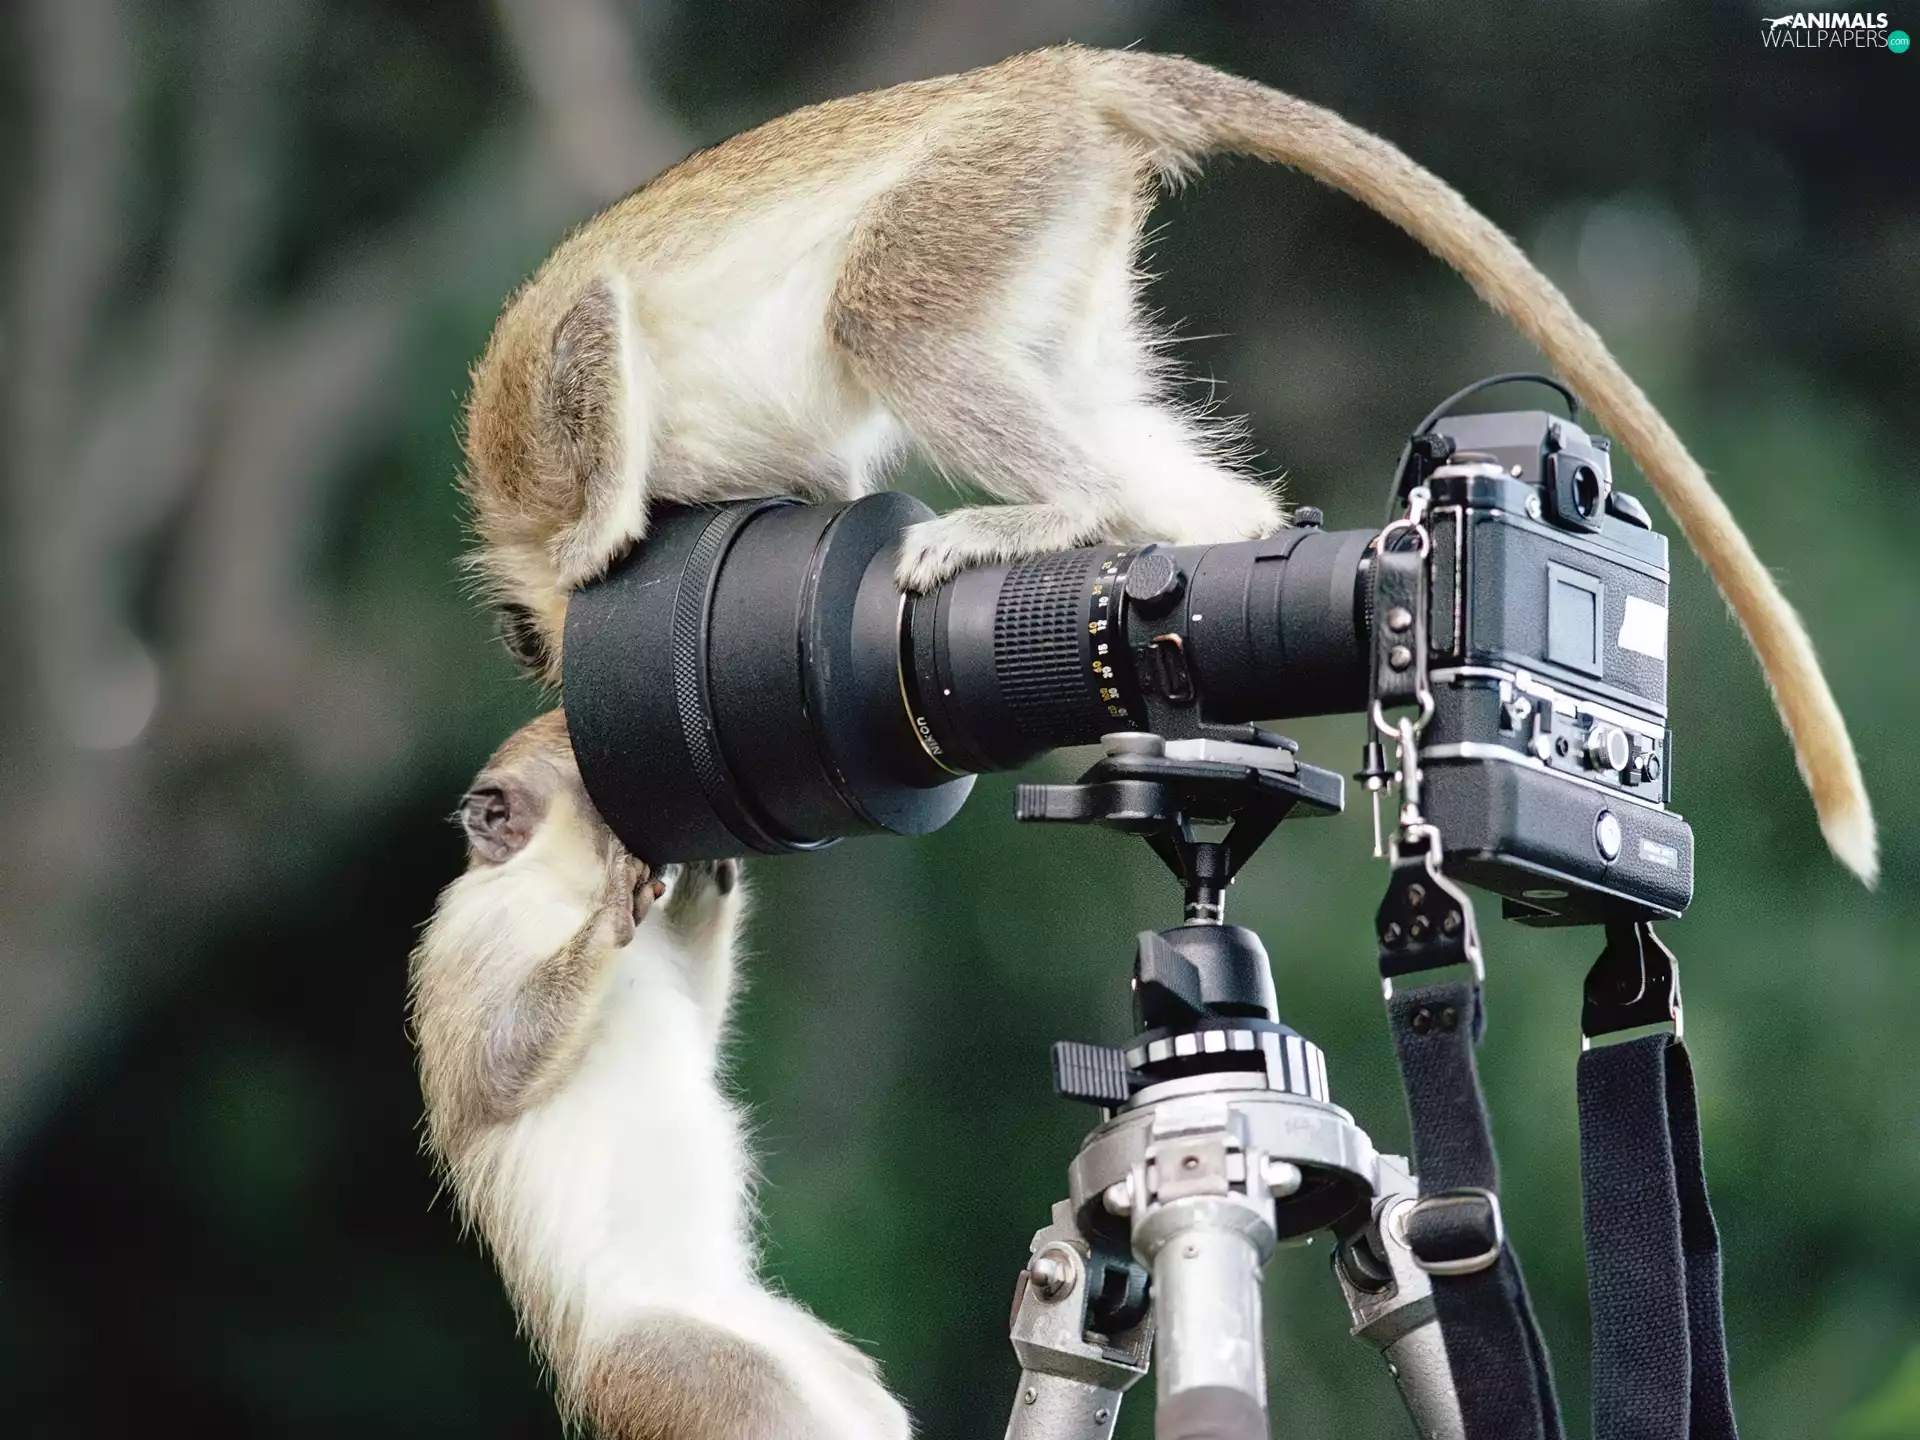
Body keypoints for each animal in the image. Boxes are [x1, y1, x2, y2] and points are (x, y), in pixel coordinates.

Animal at [408, 710, 912, 1440]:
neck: (561, 887)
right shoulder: (476, 928)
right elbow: (493, 1070)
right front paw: (608, 917)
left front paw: (706, 878)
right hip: (668, 1366)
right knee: (757, 1396)